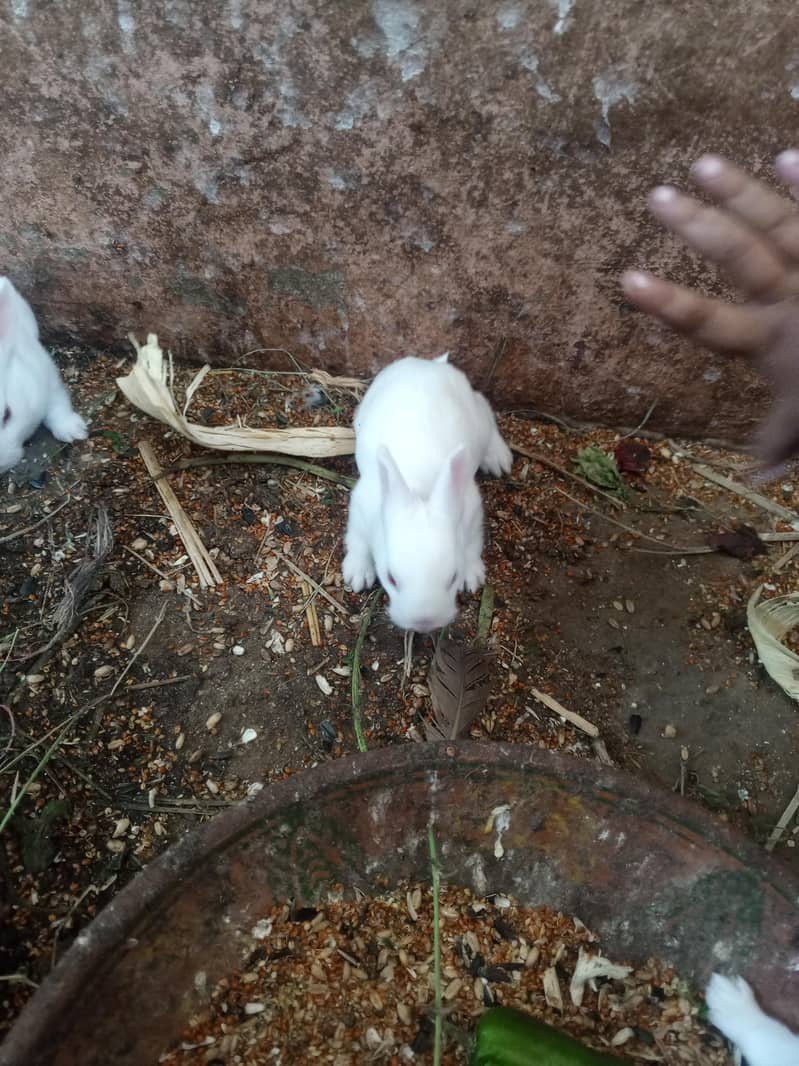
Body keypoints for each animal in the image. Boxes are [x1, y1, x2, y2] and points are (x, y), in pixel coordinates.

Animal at [341, 353, 512, 633]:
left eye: (453, 577)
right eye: (391, 578)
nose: (423, 622)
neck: (420, 489)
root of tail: (432, 365)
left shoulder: (472, 512)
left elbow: (473, 544)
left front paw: (472, 576)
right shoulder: (360, 510)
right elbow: (356, 540)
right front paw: (357, 574)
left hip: (478, 420)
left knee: (485, 408)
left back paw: (498, 458)